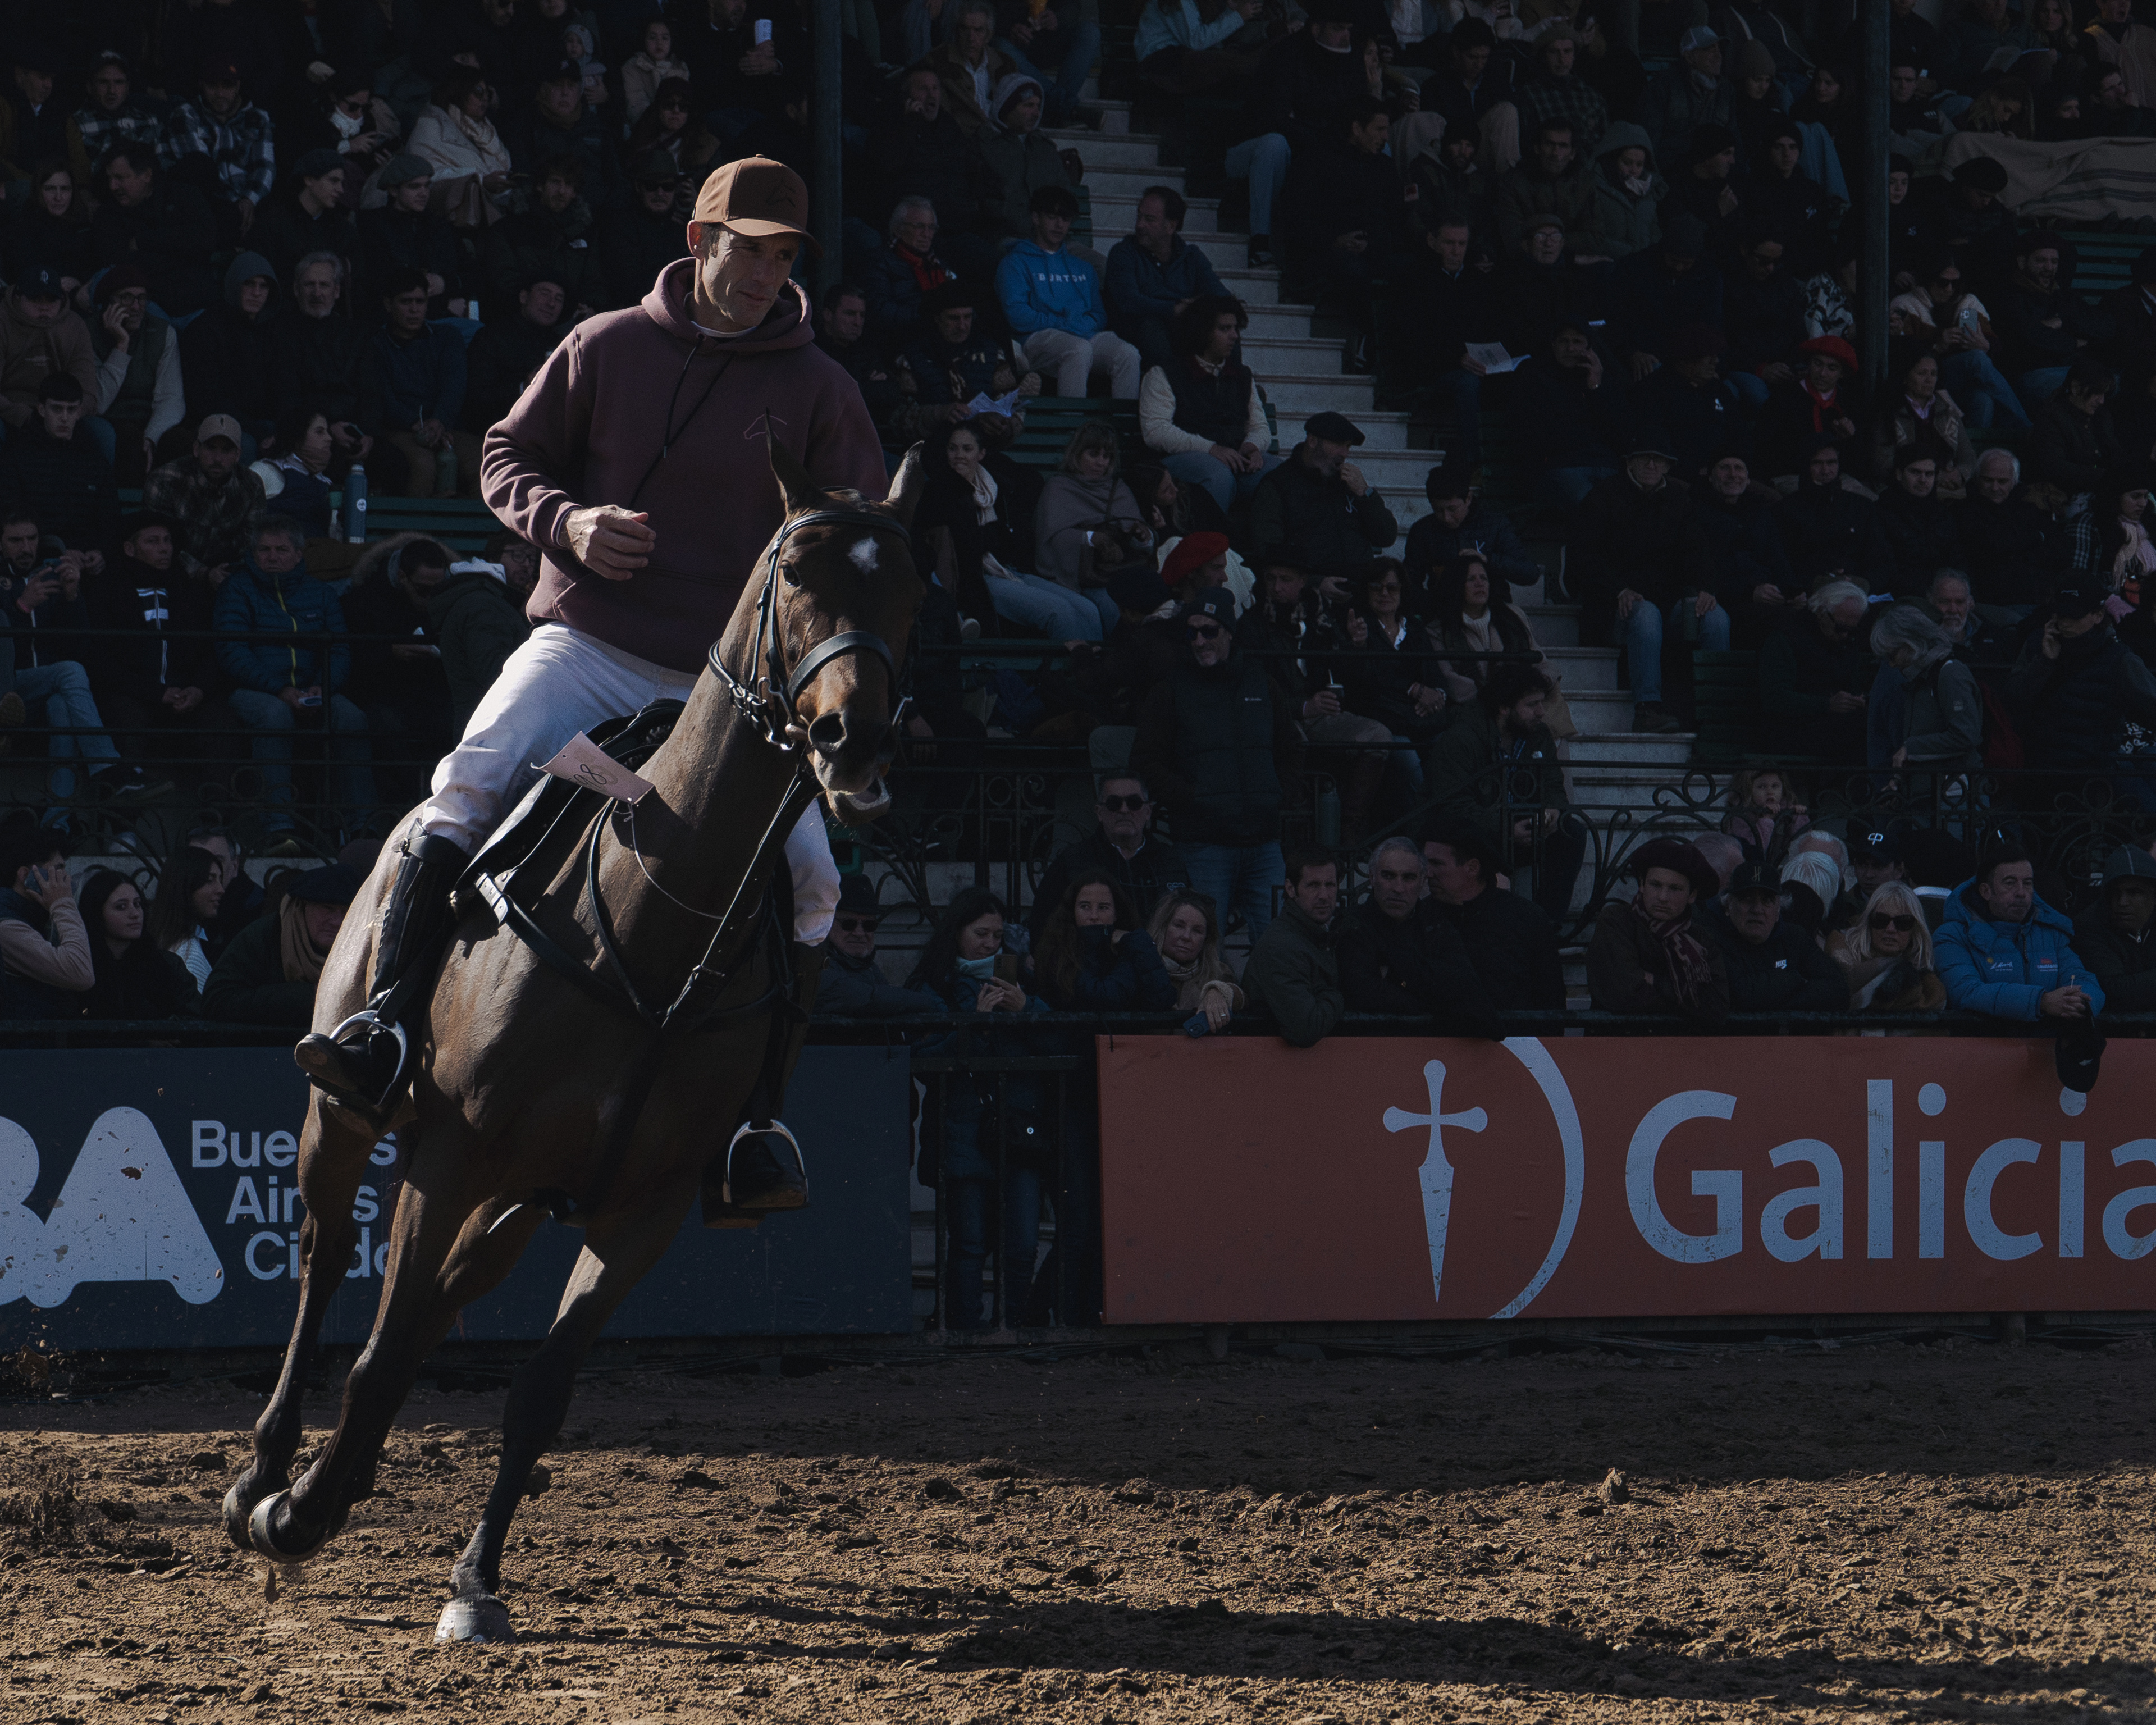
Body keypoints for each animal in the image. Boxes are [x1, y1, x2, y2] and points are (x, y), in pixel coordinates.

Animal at [221, 440, 925, 1643]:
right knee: (322, 1261)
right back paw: (271, 1474)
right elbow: (376, 1356)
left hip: (515, 1200)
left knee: (442, 1297)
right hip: (344, 1116)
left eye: (913, 584)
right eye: (794, 572)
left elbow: (539, 1391)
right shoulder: (451, 1155)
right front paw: (299, 1511)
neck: (654, 927)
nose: (855, 740)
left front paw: (474, 1581)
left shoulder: (643, 1207)